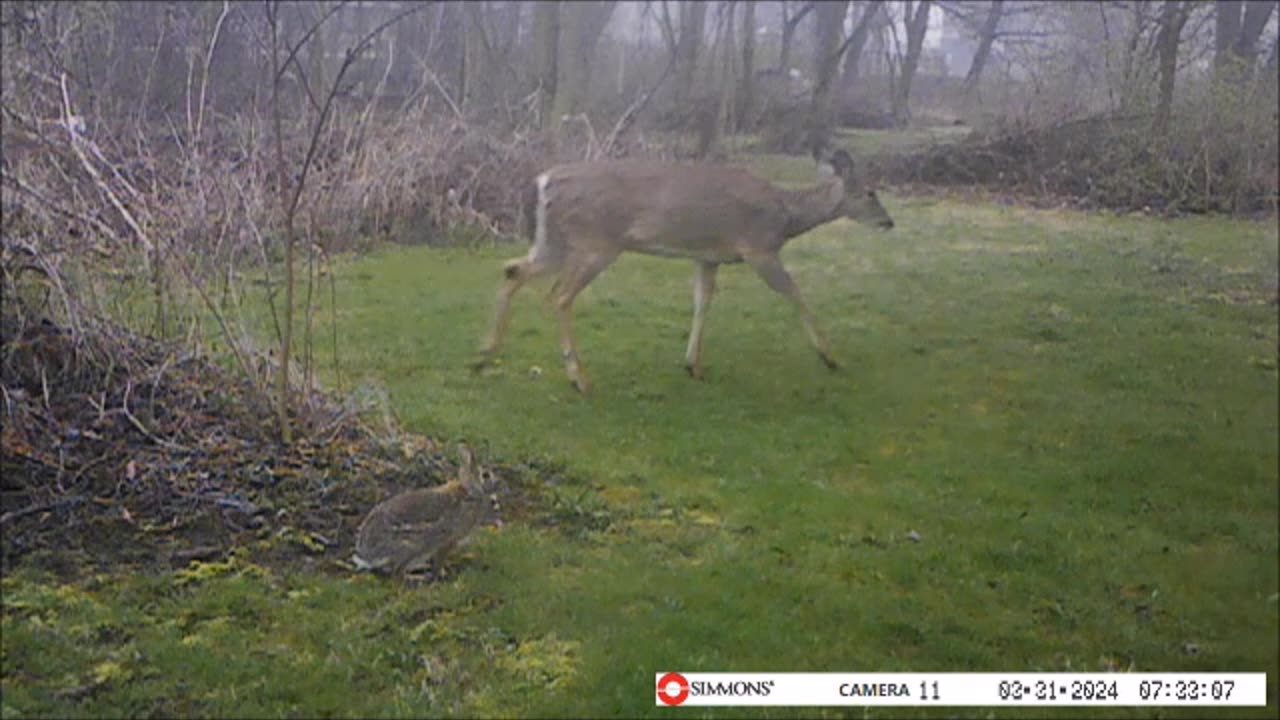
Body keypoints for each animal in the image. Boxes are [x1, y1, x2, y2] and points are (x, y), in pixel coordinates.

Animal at [358, 440, 501, 573]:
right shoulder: (448, 540)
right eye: (486, 475)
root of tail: (367, 556)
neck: (470, 491)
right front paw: (440, 574)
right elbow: (439, 561)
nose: (498, 484)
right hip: (411, 547)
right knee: (397, 571)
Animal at [465, 147, 896, 392]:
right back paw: (579, 379)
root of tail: (543, 181)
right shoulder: (758, 248)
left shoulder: (708, 256)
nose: (890, 222)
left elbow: (702, 302)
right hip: (596, 242)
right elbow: (794, 292)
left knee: (513, 271)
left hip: (554, 241)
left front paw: (693, 365)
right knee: (559, 296)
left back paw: (484, 355)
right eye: (871, 191)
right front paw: (829, 356)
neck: (786, 215)